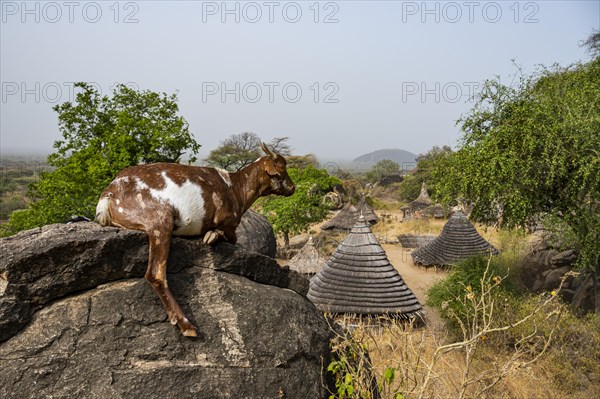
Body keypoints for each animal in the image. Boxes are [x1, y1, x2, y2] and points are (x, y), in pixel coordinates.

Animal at [93, 144, 296, 338]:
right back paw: (187, 325)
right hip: (160, 221)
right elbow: (231, 236)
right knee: (155, 274)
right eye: (281, 169)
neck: (235, 187)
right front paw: (211, 235)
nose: (292, 188)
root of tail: (109, 194)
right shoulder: (227, 221)